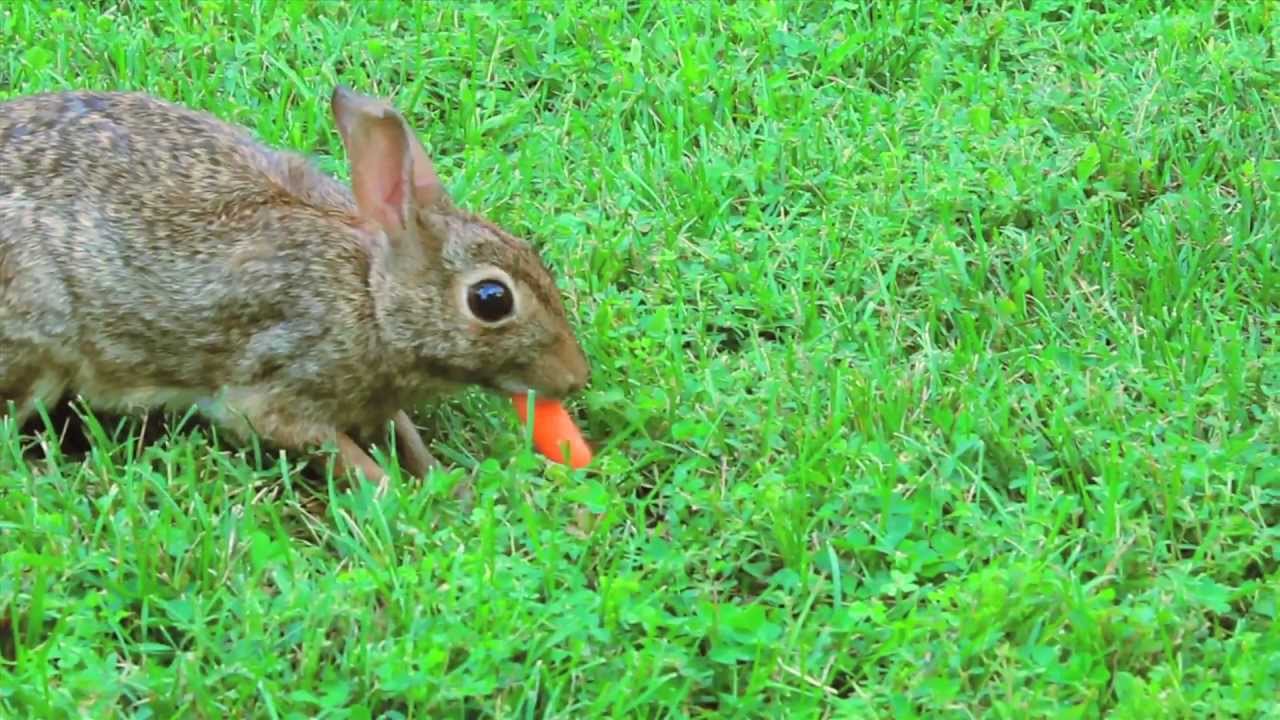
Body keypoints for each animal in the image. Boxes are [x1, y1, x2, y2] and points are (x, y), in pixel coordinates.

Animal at [0, 83, 588, 481]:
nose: (574, 378)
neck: (370, 296)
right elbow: (333, 450)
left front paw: (443, 484)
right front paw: (397, 499)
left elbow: (404, 432)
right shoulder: (279, 388)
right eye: (491, 300)